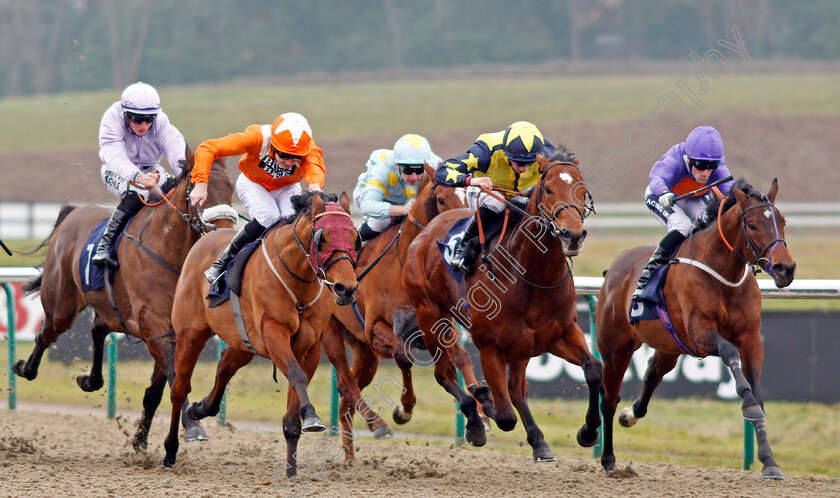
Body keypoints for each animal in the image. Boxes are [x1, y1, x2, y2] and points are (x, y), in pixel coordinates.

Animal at [13, 150, 236, 450]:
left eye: (230, 188)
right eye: (200, 193)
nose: (224, 235)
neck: (168, 251)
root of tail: (74, 214)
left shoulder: (171, 331)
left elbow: (155, 391)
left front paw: (141, 441)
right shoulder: (155, 327)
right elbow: (175, 378)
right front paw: (192, 426)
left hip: (114, 311)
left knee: (97, 328)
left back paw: (90, 380)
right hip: (61, 304)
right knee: (45, 335)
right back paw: (24, 367)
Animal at [162, 191, 360, 478]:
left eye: (355, 236)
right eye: (322, 238)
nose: (347, 288)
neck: (298, 282)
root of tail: (206, 237)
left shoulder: (309, 347)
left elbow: (294, 403)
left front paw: (291, 470)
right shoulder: (273, 333)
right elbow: (297, 376)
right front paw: (312, 415)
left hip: (243, 343)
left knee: (224, 367)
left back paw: (200, 408)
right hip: (190, 334)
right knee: (178, 388)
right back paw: (170, 449)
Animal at [324, 164, 480, 460]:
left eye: (468, 197)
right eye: (441, 199)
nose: (464, 225)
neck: (404, 266)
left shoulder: (440, 325)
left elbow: (463, 356)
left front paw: (480, 412)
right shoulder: (376, 330)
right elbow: (403, 355)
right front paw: (403, 410)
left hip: (363, 351)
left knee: (348, 396)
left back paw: (349, 455)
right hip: (333, 335)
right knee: (346, 384)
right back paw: (377, 425)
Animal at [404, 146, 600, 462]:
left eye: (582, 190)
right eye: (547, 188)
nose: (573, 235)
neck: (531, 276)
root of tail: (425, 232)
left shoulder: (560, 334)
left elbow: (593, 369)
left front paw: (588, 431)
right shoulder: (490, 347)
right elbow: (505, 416)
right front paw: (484, 403)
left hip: (520, 347)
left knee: (517, 389)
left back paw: (538, 441)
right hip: (431, 315)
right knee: (444, 374)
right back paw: (475, 420)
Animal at [596, 178, 796, 478]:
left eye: (782, 221)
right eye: (751, 224)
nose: (786, 268)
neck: (722, 271)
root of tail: (615, 267)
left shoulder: (750, 337)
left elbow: (758, 394)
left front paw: (769, 461)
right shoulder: (699, 332)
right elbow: (730, 353)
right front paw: (747, 402)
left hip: (668, 347)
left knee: (650, 378)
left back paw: (628, 415)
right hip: (615, 347)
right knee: (608, 398)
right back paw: (605, 454)